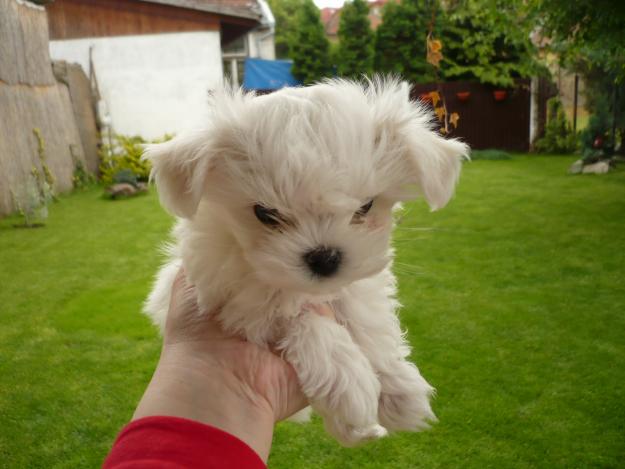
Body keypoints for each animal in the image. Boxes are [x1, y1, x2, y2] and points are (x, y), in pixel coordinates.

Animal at [144, 77, 466, 446]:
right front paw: (351, 385)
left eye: (366, 206)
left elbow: (365, 316)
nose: (325, 258)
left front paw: (398, 388)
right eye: (265, 214)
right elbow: (299, 318)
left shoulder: (358, 285)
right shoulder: (232, 298)